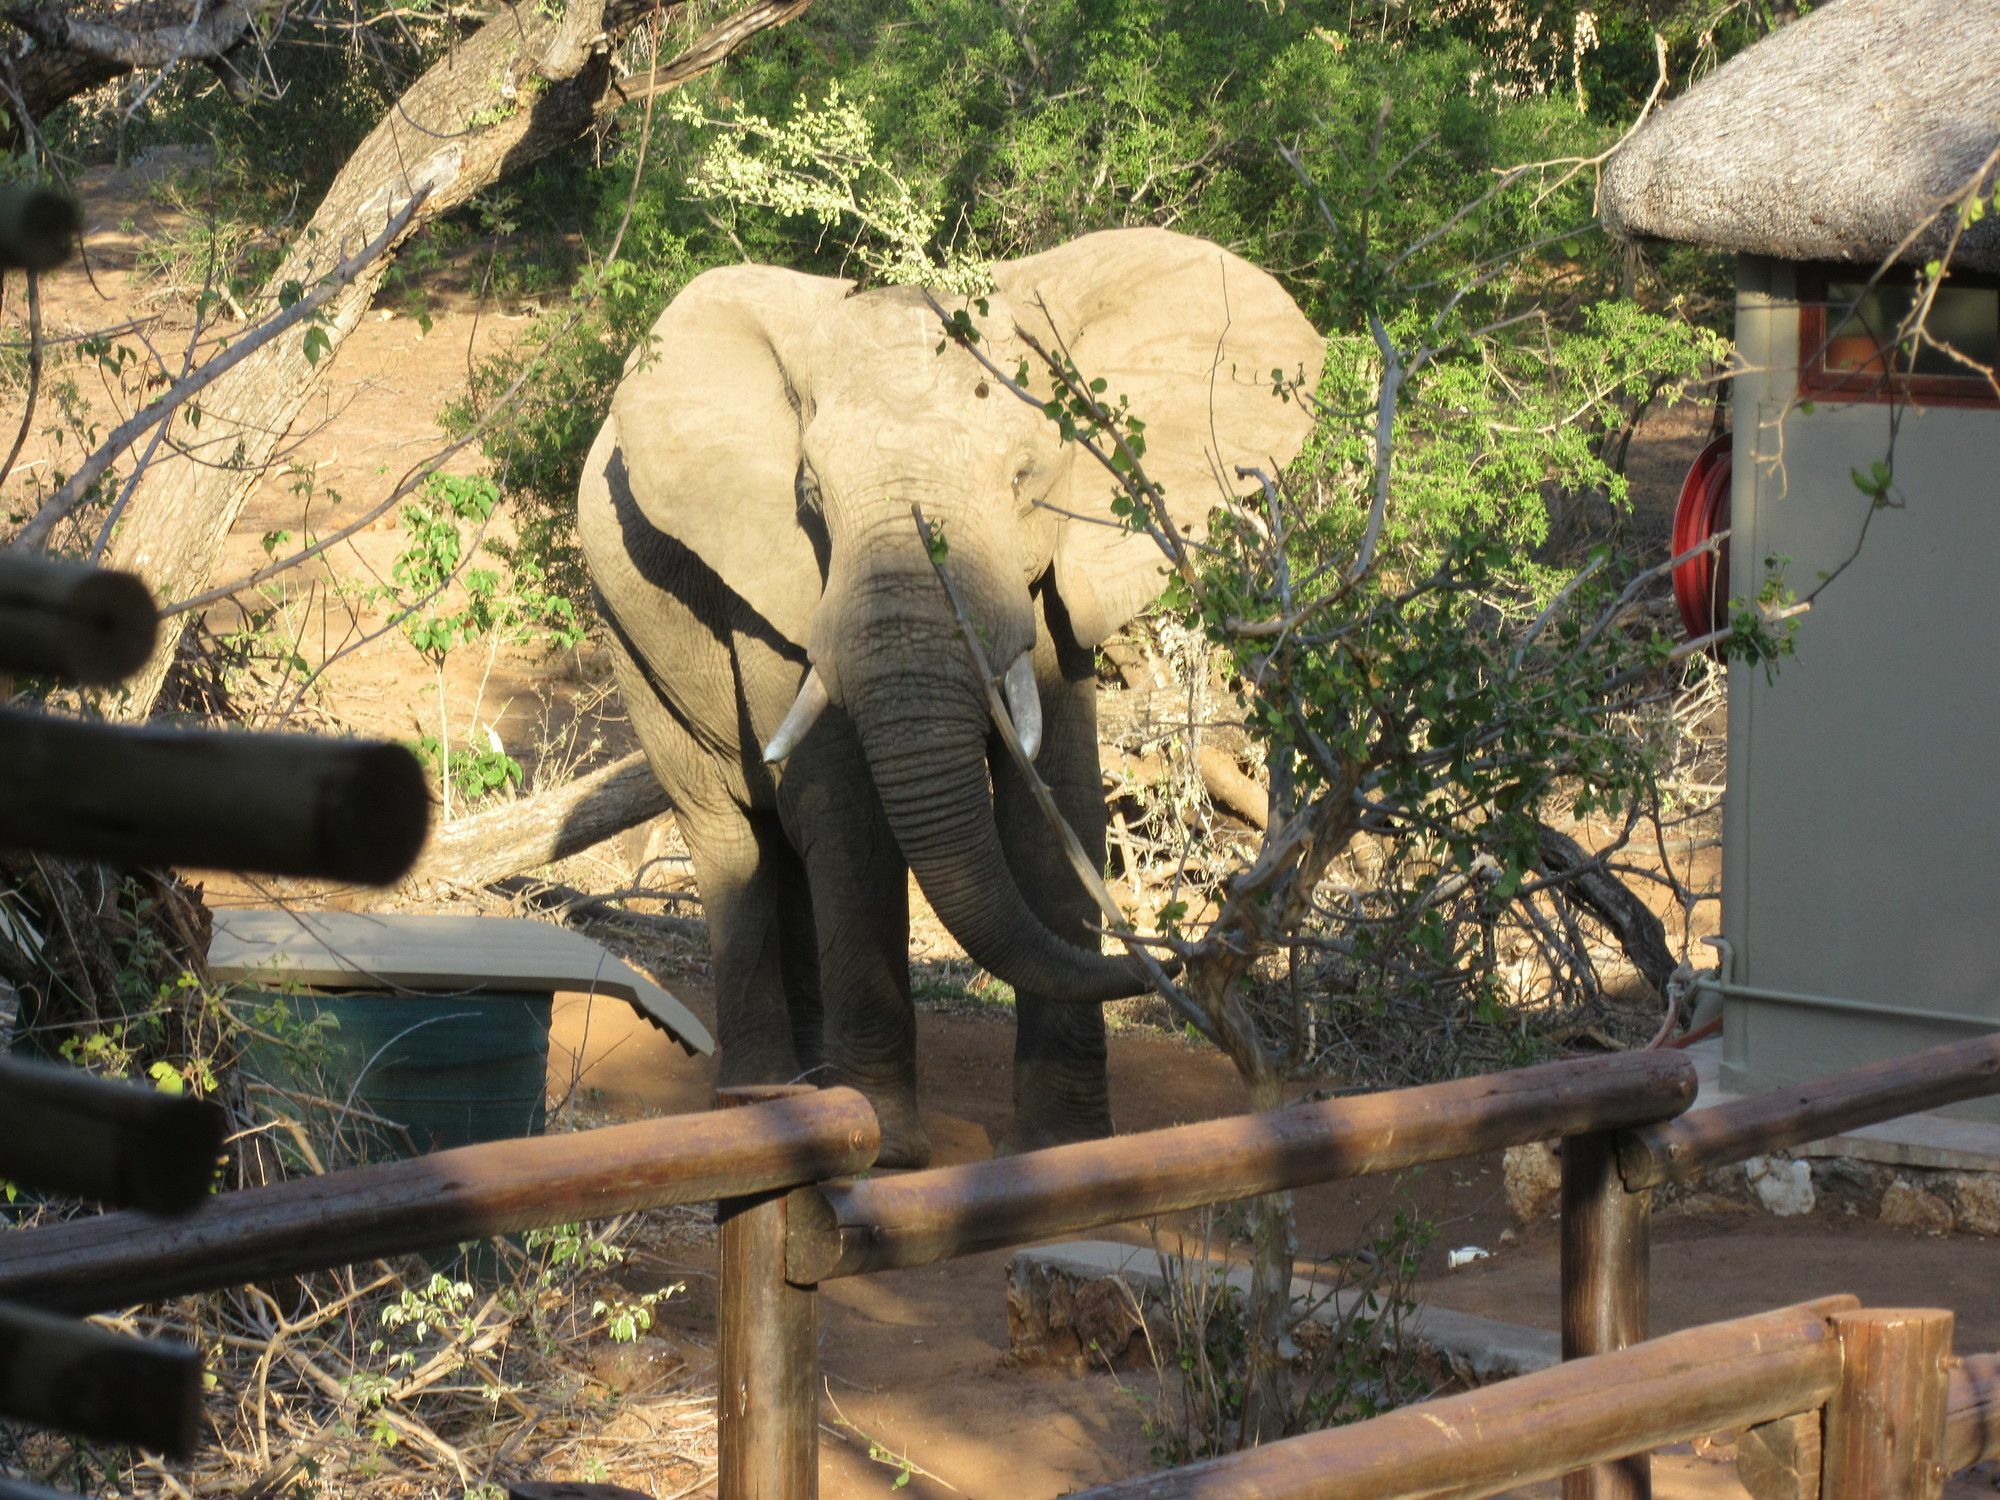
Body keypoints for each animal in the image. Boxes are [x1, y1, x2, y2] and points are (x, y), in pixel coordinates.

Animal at [580, 226, 1328, 1176]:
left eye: (1024, 480)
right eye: (811, 498)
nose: (1229, 920)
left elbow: (1059, 800)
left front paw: (1066, 1146)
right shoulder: (775, 583)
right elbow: (846, 812)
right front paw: (886, 1150)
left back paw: (806, 1095)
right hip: (630, 638)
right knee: (732, 833)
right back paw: (764, 1103)